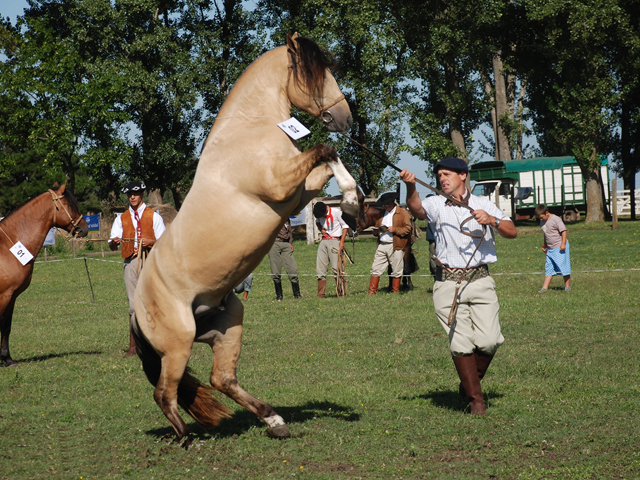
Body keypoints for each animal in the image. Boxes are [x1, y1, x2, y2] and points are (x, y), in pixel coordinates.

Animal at [0, 186, 89, 366]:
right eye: (69, 205)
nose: (84, 228)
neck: (8, 247)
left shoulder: (11, 296)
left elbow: (6, 325)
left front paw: (7, 358)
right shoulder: (4, 295)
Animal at [132, 32, 358, 442]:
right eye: (316, 74)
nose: (346, 118)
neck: (250, 128)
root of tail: (135, 311)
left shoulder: (296, 194)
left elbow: (327, 162)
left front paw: (353, 202)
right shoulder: (280, 186)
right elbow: (326, 150)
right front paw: (350, 200)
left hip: (229, 322)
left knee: (221, 379)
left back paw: (275, 421)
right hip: (178, 344)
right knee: (165, 392)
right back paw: (186, 437)